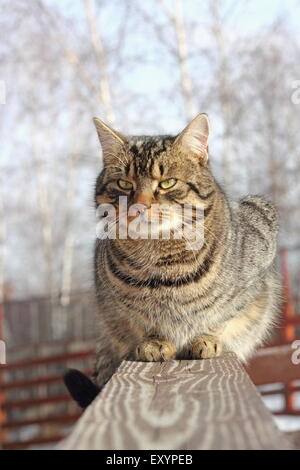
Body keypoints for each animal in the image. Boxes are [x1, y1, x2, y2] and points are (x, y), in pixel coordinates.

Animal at [64, 114, 280, 408]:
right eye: (124, 184)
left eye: (167, 183)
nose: (140, 206)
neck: (160, 257)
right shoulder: (117, 309)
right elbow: (143, 322)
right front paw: (154, 342)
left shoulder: (256, 273)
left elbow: (222, 315)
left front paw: (205, 338)